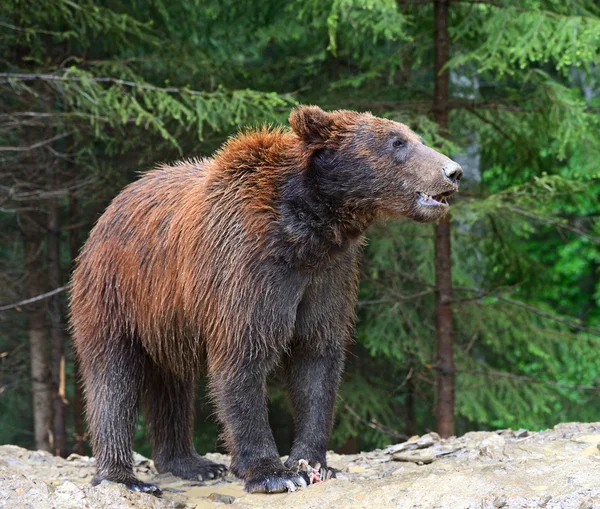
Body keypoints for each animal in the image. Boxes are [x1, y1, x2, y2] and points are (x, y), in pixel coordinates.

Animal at [71, 105, 464, 494]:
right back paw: (124, 477)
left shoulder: (328, 277)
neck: (308, 231)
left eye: (417, 138)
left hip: (167, 319)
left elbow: (316, 359)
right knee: (113, 379)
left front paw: (313, 462)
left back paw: (192, 464)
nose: (453, 171)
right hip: (117, 291)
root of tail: (113, 205)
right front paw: (272, 473)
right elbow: (244, 358)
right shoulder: (246, 270)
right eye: (397, 142)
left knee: (172, 384)